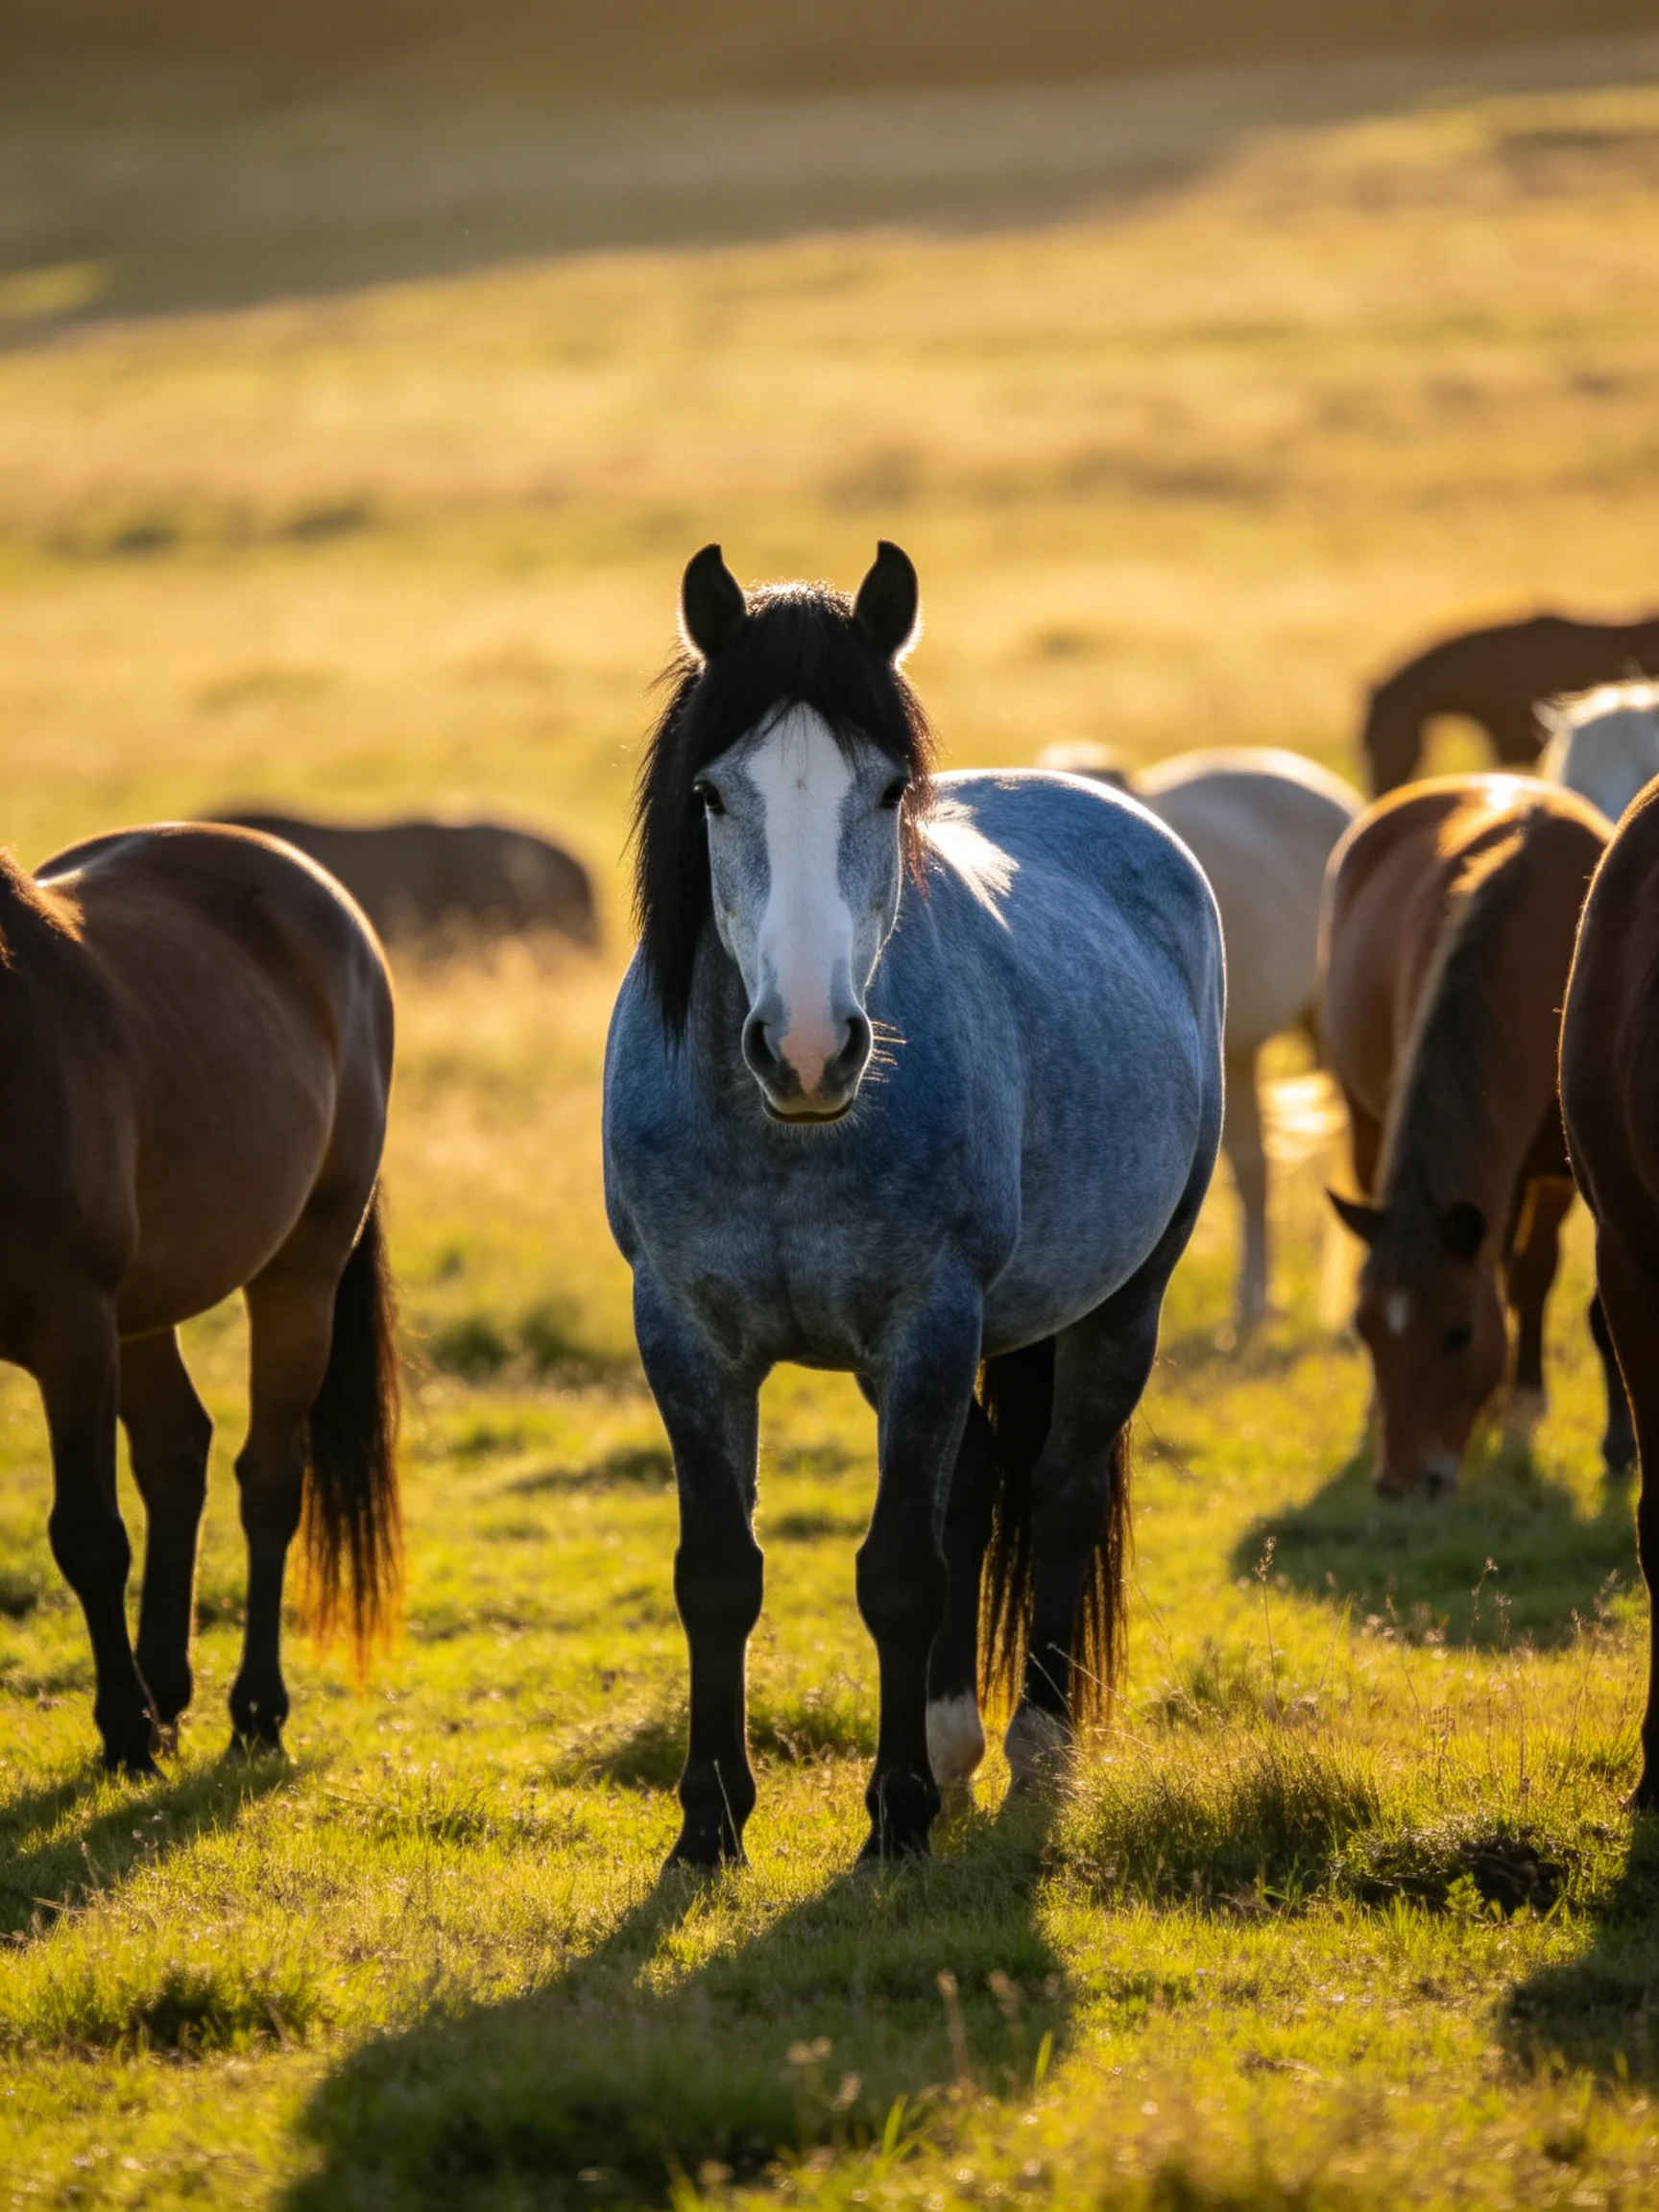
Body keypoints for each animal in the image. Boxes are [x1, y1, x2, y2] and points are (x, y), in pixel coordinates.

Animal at [1, 823, 400, 1773]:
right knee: (176, 1457)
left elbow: (89, 1535)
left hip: (297, 1275)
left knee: (269, 1479)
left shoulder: (72, 1330)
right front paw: (138, 1718)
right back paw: (167, 1695)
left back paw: (251, 1710)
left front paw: (122, 1728)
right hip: (140, 1314)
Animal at [603, 543, 1224, 1864]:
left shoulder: (928, 1324)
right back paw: (951, 1741)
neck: (784, 1142)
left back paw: (1038, 1748)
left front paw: (893, 1819)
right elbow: (718, 1573)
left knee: (1058, 1490)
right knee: (981, 1484)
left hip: (1119, 1306)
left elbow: (898, 1570)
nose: (806, 1049)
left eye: (888, 792)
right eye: (712, 796)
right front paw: (710, 1822)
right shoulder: (684, 1334)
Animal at [1320, 774, 1628, 1494]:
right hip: (1365, 1121)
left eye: (1458, 1335)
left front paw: (1548, 1412)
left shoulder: (1564, 1173)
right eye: (1364, 1329)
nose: (1404, 1484)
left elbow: (1544, 1278)